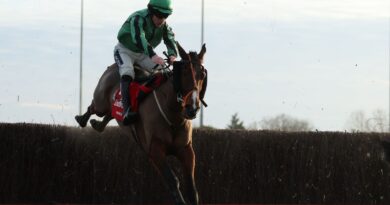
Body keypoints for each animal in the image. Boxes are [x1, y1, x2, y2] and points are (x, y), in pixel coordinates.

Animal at [74, 42, 206, 205]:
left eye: (202, 75)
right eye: (184, 72)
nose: (192, 108)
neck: (172, 115)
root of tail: (113, 67)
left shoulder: (186, 150)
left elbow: (192, 188)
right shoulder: (155, 150)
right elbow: (173, 182)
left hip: (111, 109)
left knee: (109, 115)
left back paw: (98, 125)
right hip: (101, 102)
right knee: (93, 107)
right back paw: (82, 119)